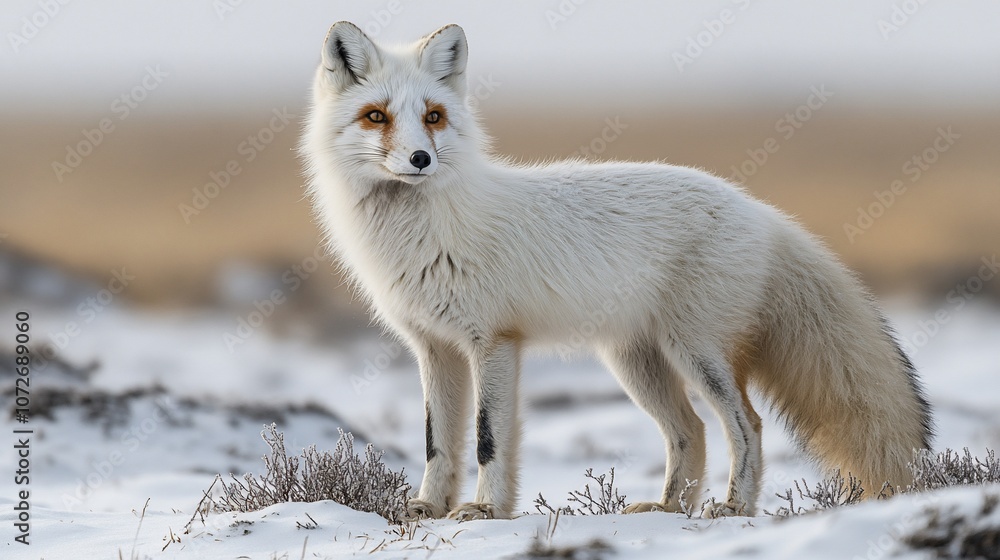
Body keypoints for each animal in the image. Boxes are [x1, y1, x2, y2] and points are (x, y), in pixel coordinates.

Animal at [299, 22, 933, 520]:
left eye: (433, 117)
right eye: (376, 116)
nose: (420, 159)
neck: (423, 232)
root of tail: (761, 209)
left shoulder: (493, 341)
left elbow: (486, 441)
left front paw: (484, 511)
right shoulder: (434, 347)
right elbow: (437, 443)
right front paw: (429, 508)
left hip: (695, 351)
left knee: (747, 425)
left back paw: (734, 508)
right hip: (637, 362)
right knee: (692, 432)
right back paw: (669, 508)